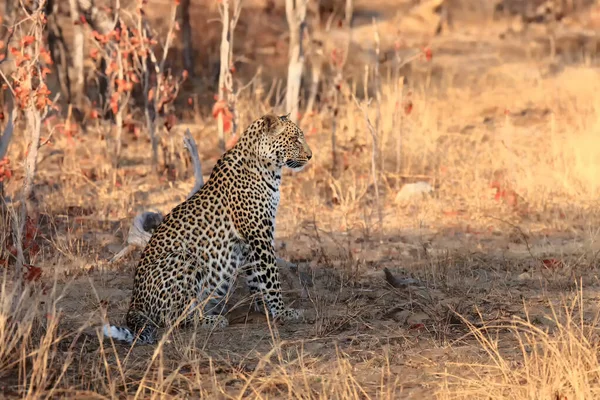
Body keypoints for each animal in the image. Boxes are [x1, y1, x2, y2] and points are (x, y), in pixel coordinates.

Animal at [103, 112, 312, 344]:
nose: (310, 156)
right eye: (294, 140)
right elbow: (272, 278)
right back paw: (211, 320)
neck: (268, 169)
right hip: (186, 259)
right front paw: (283, 311)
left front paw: (264, 308)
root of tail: (134, 302)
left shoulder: (250, 242)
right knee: (174, 318)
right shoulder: (260, 234)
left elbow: (257, 277)